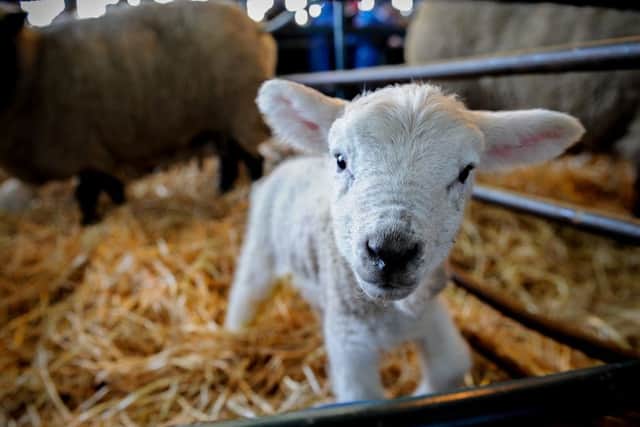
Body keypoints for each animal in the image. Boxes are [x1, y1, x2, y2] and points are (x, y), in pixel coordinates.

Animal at [0, 0, 276, 224]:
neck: (34, 65)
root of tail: (257, 28)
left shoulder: (84, 151)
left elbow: (87, 194)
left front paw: (91, 222)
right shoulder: (95, 153)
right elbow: (110, 187)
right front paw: (117, 209)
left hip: (240, 112)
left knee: (252, 159)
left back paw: (253, 189)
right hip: (221, 122)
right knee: (230, 159)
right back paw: (223, 191)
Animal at [225, 79, 584, 402]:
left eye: (466, 171)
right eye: (340, 159)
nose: (391, 253)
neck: (388, 313)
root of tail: (292, 162)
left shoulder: (426, 314)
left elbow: (451, 364)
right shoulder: (350, 344)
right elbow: (365, 397)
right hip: (261, 245)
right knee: (248, 289)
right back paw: (233, 334)